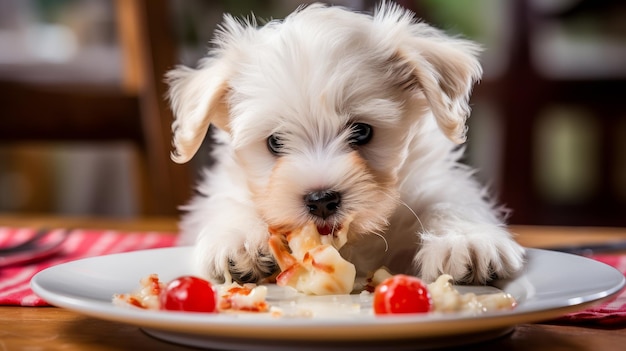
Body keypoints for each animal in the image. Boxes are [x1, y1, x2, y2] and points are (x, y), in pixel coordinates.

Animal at [166, 2, 520, 288]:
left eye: (361, 132)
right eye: (275, 142)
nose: (321, 199)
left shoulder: (433, 180)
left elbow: (449, 200)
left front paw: (466, 240)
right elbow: (230, 203)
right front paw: (241, 241)